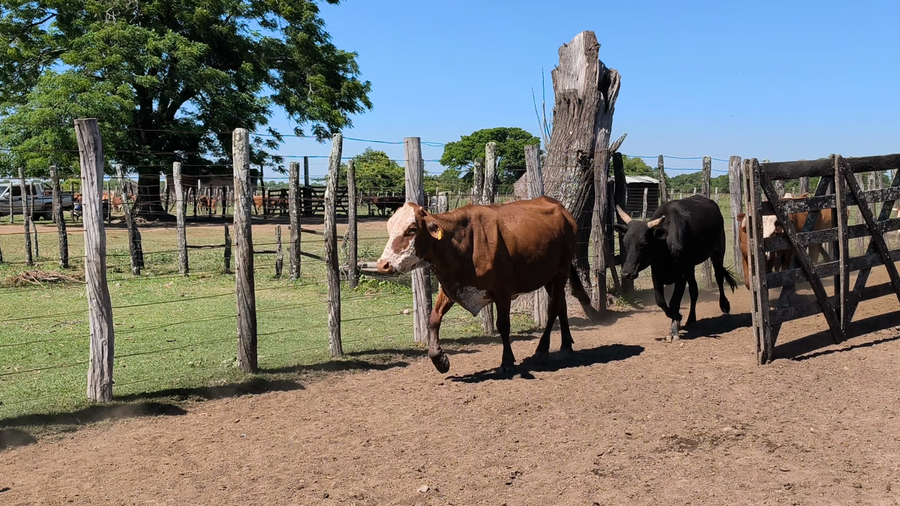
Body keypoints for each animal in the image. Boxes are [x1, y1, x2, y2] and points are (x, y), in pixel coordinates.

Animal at [376, 196, 600, 373]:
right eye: (389, 228)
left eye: (412, 229)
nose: (383, 264)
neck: (460, 241)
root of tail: (561, 208)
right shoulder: (452, 287)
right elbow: (433, 319)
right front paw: (439, 359)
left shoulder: (502, 291)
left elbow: (503, 325)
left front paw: (507, 361)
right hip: (548, 275)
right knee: (561, 304)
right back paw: (566, 345)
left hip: (561, 270)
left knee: (553, 307)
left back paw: (542, 349)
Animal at [614, 195, 738, 341]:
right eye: (625, 243)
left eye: (643, 244)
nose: (626, 273)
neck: (665, 248)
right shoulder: (657, 274)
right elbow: (661, 301)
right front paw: (677, 320)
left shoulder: (681, 276)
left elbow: (674, 302)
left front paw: (674, 328)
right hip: (691, 266)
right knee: (694, 291)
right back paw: (691, 319)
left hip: (718, 252)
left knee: (719, 277)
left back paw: (724, 305)